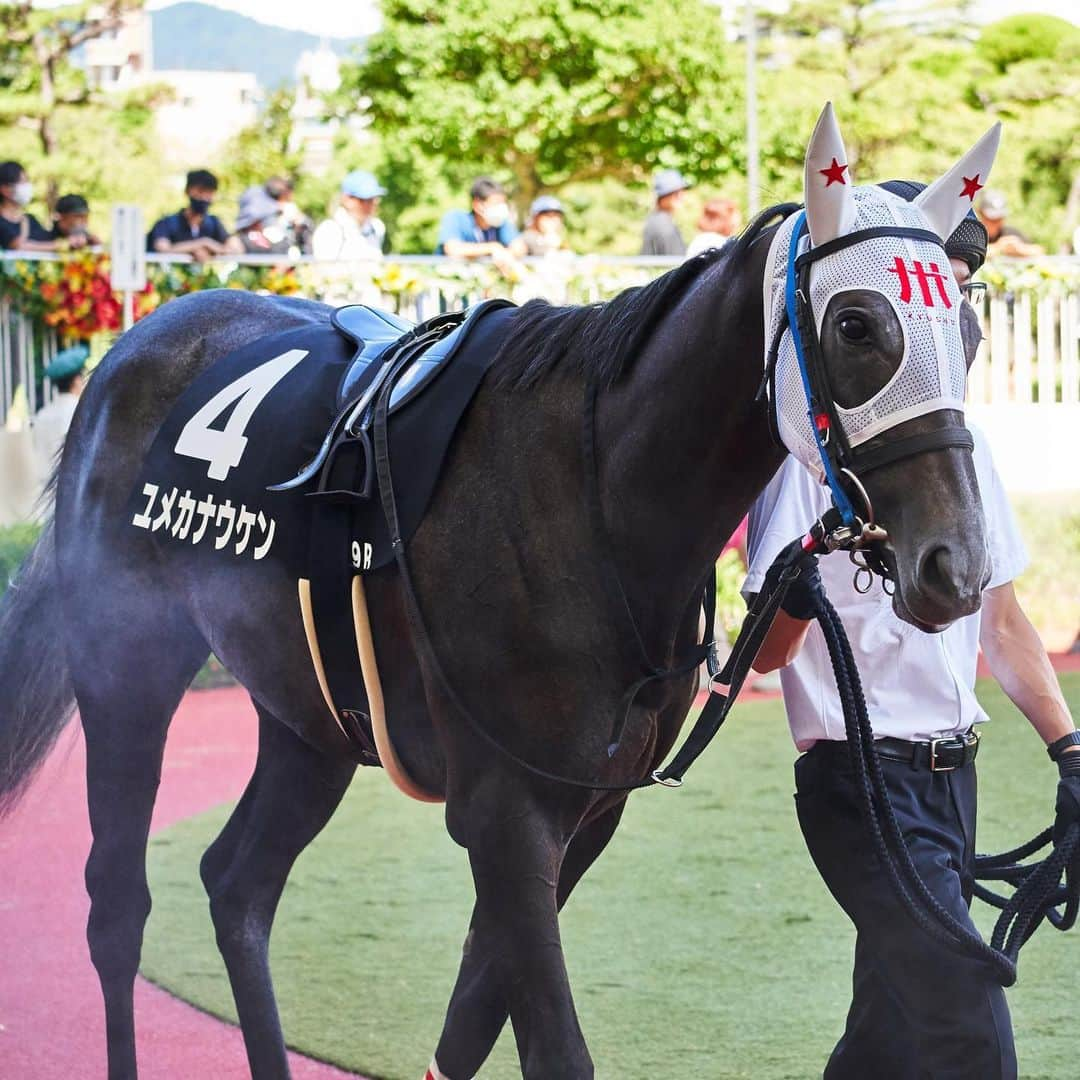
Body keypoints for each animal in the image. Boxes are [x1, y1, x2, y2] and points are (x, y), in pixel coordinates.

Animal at [0, 113, 993, 1075]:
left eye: (969, 332)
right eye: (857, 325)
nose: (955, 565)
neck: (593, 499)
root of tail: (136, 345)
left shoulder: (584, 812)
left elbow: (469, 1031)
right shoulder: (505, 814)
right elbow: (552, 1047)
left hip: (309, 715)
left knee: (237, 883)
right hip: (127, 664)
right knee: (117, 906)